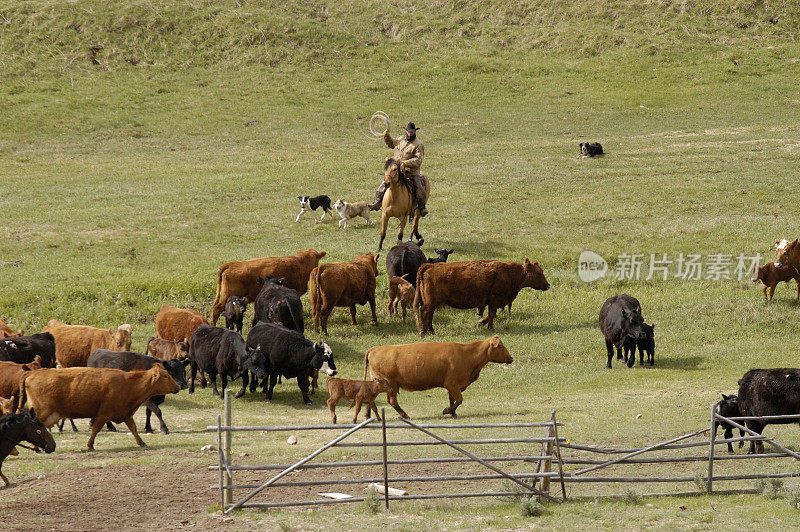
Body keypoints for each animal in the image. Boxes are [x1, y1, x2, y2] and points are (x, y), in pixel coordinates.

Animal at [15, 366, 179, 448]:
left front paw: (141, 442)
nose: (178, 386)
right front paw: (90, 445)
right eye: (165, 376)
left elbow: (133, 428)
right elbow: (96, 429)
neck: (128, 384)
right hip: (40, 412)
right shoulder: (104, 414)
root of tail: (32, 373)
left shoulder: (125, 413)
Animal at [364, 336, 512, 420]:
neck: (466, 354)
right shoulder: (452, 384)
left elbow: (453, 400)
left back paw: (368, 416)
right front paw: (447, 411)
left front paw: (453, 413)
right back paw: (404, 415)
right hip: (390, 385)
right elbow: (459, 400)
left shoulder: (453, 386)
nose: (511, 358)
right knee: (392, 401)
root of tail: (375, 348)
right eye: (500, 346)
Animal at [412, 258, 552, 336]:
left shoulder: (492, 302)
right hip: (431, 303)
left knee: (429, 315)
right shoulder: (494, 300)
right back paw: (423, 332)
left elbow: (491, 315)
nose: (548, 285)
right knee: (425, 313)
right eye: (539, 273)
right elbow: (492, 314)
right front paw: (490, 327)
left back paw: (431, 331)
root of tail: (431, 266)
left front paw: (481, 323)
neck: (508, 273)